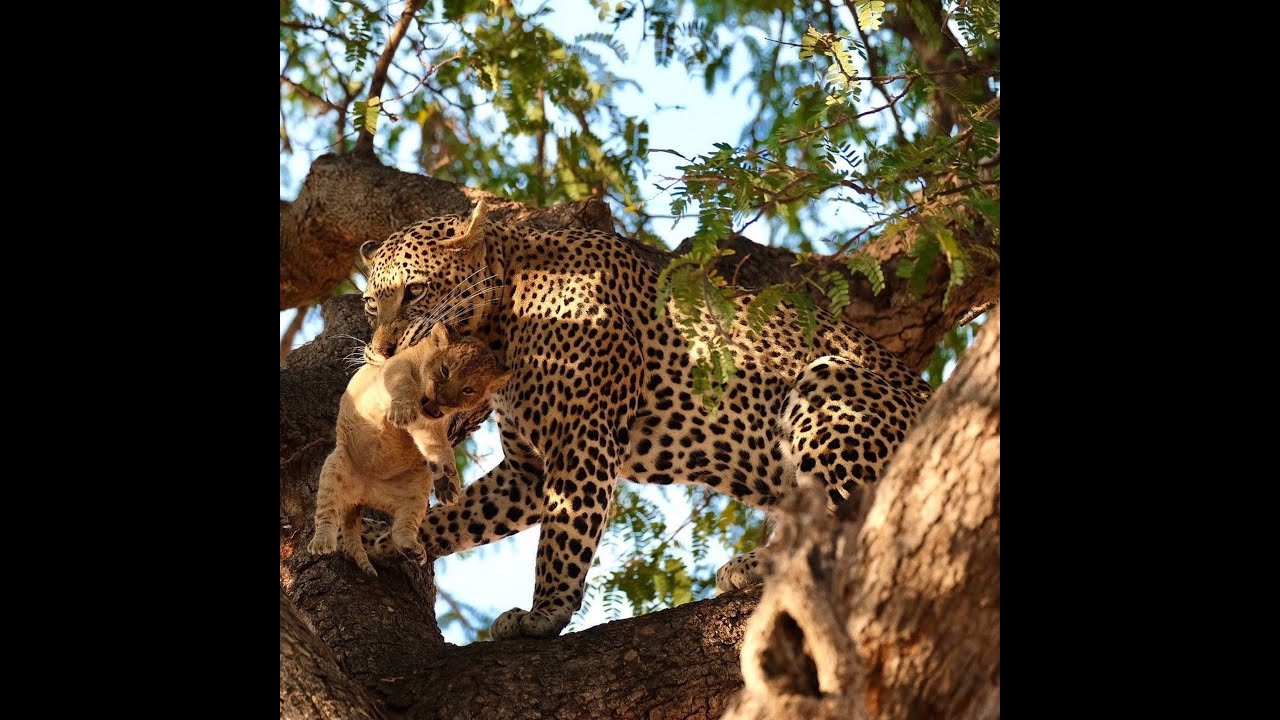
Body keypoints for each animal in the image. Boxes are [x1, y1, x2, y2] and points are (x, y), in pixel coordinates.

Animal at [309, 320, 512, 576]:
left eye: (468, 390)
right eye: (445, 370)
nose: (442, 401)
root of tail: (365, 493)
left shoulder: (431, 427)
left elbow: (439, 446)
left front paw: (449, 481)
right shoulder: (395, 367)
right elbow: (402, 382)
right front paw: (403, 410)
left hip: (418, 486)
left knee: (403, 526)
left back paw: (411, 547)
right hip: (336, 465)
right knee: (327, 511)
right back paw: (322, 541)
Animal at [355, 198, 931, 638]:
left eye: (415, 291)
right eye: (369, 306)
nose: (381, 352)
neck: (499, 323)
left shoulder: (580, 438)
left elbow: (563, 537)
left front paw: (545, 613)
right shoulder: (528, 472)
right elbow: (463, 518)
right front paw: (385, 541)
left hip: (828, 380)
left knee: (855, 525)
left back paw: (756, 564)